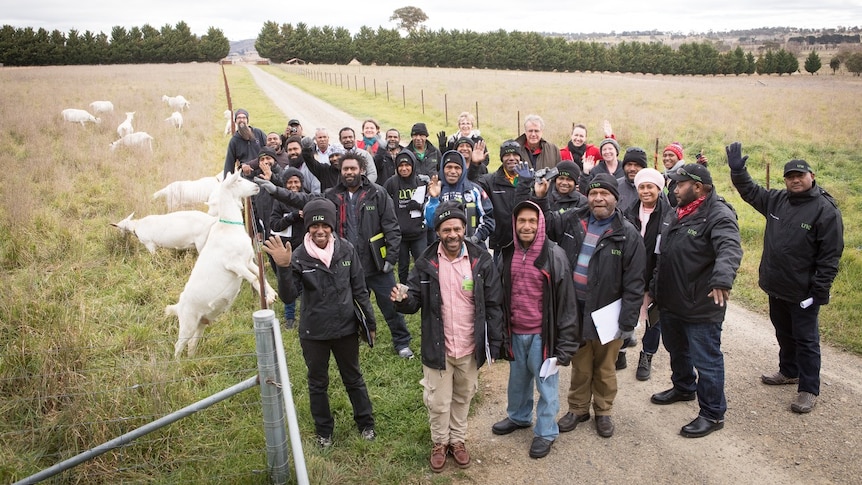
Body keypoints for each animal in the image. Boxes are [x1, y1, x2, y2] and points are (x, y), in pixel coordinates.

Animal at [167, 168, 276, 358]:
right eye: (238, 180)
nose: (256, 186)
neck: (228, 228)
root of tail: (178, 306)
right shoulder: (234, 264)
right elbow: (254, 279)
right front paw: (268, 298)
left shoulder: (248, 260)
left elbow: (260, 275)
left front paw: (271, 294)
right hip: (188, 322)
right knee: (178, 345)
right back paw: (177, 364)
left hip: (200, 322)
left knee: (192, 343)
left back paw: (192, 360)